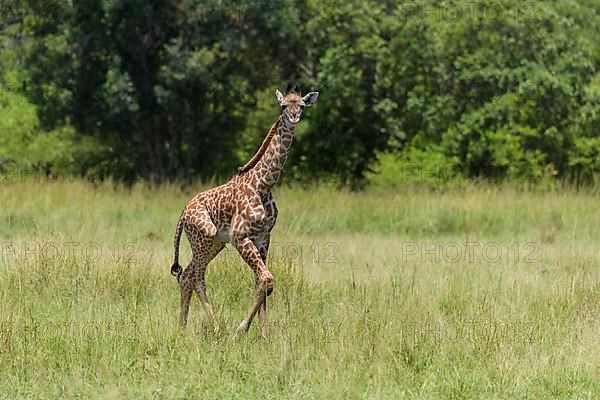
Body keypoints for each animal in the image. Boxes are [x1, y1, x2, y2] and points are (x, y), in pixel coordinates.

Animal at [169, 83, 318, 338]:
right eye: (283, 105)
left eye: (301, 104)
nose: (294, 117)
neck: (263, 185)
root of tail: (183, 214)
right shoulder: (241, 236)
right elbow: (267, 279)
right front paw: (240, 330)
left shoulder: (263, 237)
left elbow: (261, 282)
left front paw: (263, 336)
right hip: (203, 238)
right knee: (195, 276)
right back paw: (216, 327)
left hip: (217, 243)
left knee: (187, 275)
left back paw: (182, 327)